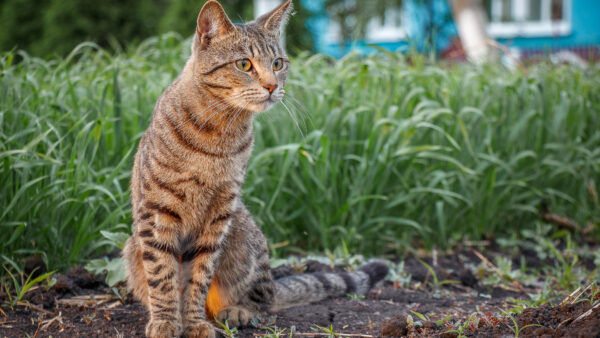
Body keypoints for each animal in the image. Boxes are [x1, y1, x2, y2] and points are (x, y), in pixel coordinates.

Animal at [120, 1, 390, 336]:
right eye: (244, 64)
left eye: (277, 63)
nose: (272, 86)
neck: (219, 134)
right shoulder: (158, 212)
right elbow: (163, 275)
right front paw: (167, 321)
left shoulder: (219, 214)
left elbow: (199, 277)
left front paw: (193, 322)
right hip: (132, 247)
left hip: (243, 238)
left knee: (265, 298)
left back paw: (236, 311)